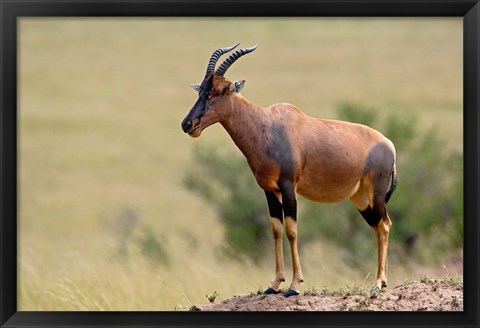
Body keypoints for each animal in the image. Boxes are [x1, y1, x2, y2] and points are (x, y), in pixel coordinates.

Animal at [180, 43, 398, 298]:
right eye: (201, 90)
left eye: (219, 90)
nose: (187, 124)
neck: (267, 125)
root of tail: (389, 144)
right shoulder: (268, 189)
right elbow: (276, 229)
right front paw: (274, 284)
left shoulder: (288, 185)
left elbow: (292, 229)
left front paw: (294, 286)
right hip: (360, 198)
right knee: (376, 226)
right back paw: (380, 281)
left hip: (376, 193)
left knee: (384, 225)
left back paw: (378, 282)